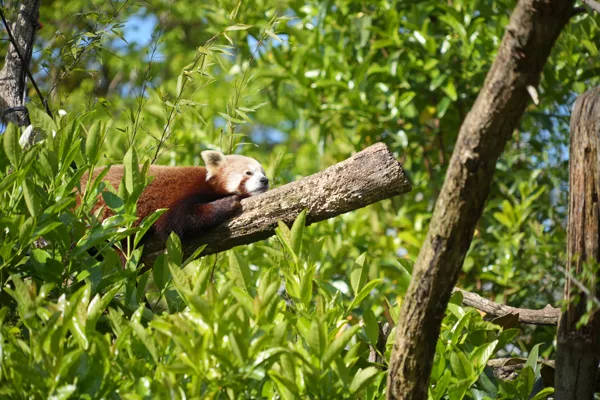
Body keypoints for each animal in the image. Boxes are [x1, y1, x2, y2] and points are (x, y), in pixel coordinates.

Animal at [79, 151, 270, 242]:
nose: (265, 180)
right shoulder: (187, 192)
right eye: (248, 173)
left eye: (263, 173)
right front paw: (227, 203)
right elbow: (175, 222)